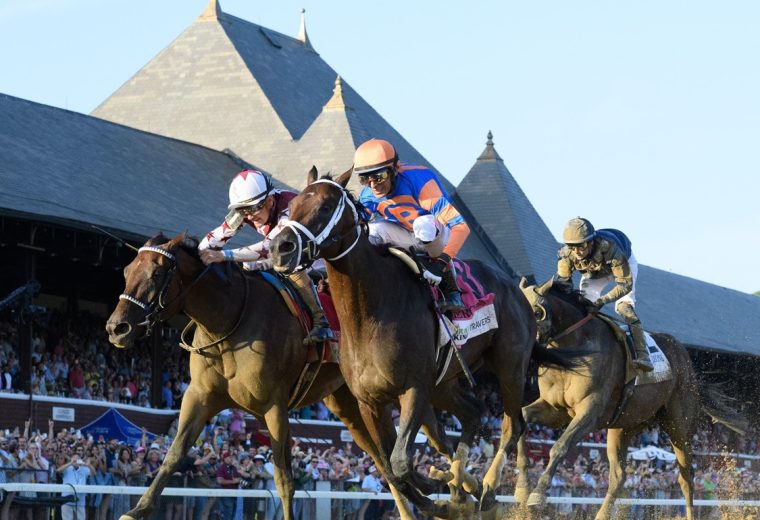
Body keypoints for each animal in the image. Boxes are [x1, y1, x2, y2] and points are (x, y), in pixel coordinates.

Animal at [104, 234, 418, 520]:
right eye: (127, 271)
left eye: (156, 273)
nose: (116, 328)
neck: (227, 322)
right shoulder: (200, 397)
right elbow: (173, 454)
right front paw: (137, 510)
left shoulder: (274, 407)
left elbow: (284, 480)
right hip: (349, 406)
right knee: (383, 462)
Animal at [268, 170, 580, 516]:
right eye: (293, 204)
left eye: (324, 206)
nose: (280, 247)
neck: (370, 312)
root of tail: (518, 289)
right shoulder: (369, 401)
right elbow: (391, 468)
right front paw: (441, 492)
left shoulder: (414, 389)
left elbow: (400, 461)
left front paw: (438, 489)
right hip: (446, 381)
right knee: (473, 413)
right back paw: (461, 484)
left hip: (509, 367)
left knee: (514, 425)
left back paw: (486, 488)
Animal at [512, 278, 744, 520]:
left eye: (536, 312)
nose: (521, 344)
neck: (575, 348)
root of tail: (689, 366)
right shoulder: (556, 408)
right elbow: (523, 418)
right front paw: (522, 487)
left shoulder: (589, 411)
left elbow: (560, 446)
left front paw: (537, 494)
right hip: (624, 425)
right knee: (619, 476)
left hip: (680, 427)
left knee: (686, 477)